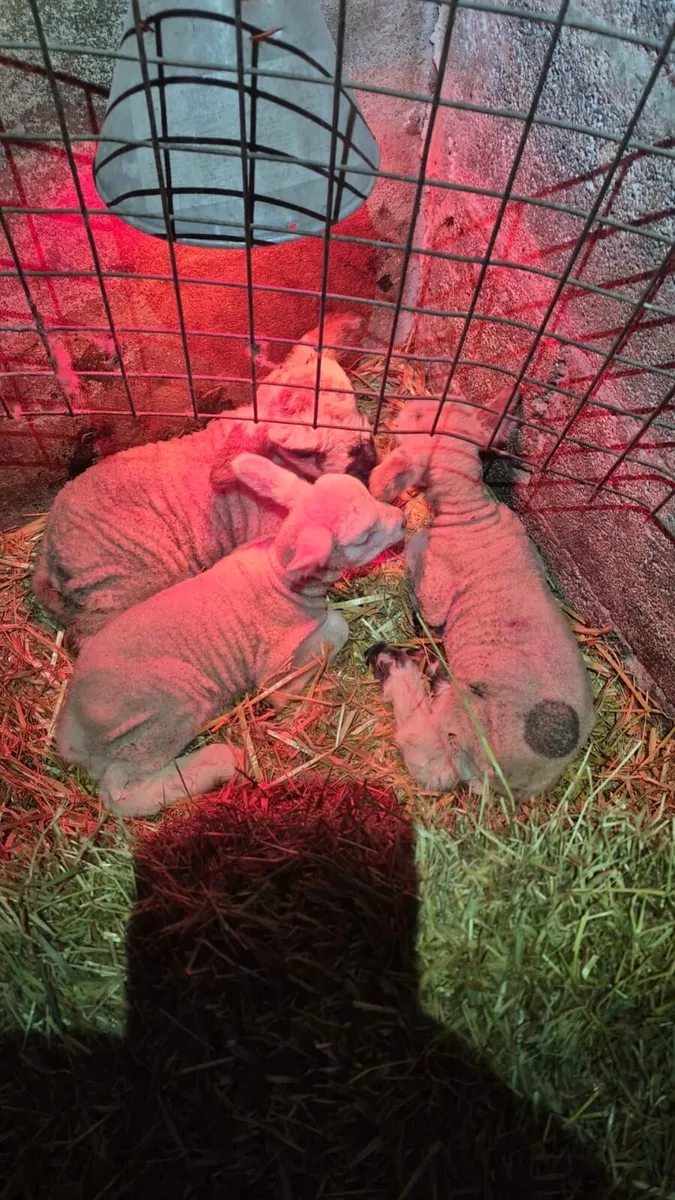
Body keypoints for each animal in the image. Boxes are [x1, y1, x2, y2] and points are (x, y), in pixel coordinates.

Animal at [55, 454, 404, 818]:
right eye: (364, 535)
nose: (403, 521)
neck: (279, 578)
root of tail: (72, 736)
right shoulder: (273, 667)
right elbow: (333, 628)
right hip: (161, 719)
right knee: (120, 793)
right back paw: (221, 760)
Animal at [366, 393, 596, 801]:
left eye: (419, 417)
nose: (402, 407)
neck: (469, 510)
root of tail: (516, 781)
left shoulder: (436, 580)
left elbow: (426, 596)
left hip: (463, 722)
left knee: (429, 760)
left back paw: (396, 668)